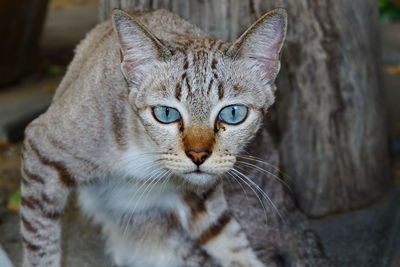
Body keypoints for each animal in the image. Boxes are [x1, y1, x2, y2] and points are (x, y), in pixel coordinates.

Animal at [19, 7, 288, 266]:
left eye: (233, 113)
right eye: (166, 113)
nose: (198, 155)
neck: (145, 151)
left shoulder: (203, 196)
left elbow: (233, 243)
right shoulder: (42, 152)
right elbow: (40, 246)